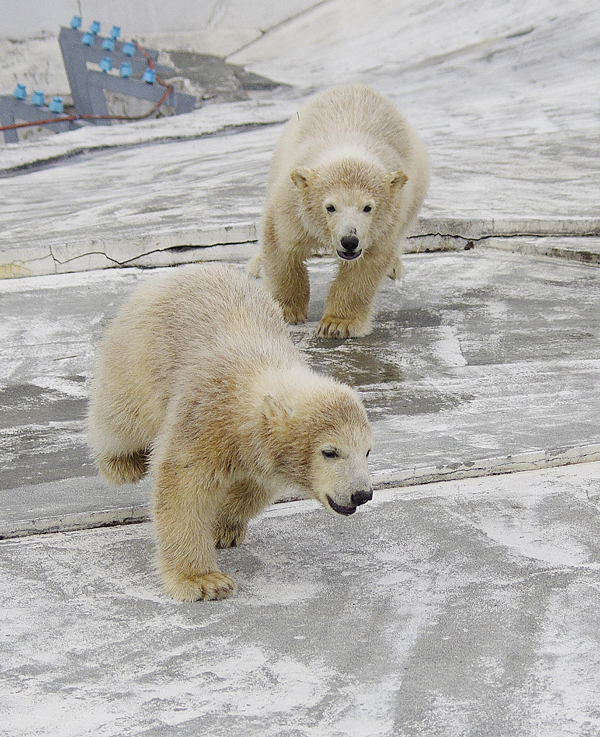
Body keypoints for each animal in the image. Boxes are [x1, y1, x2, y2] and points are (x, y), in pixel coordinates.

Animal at [87, 264, 372, 600]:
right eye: (330, 452)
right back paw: (123, 464)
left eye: (367, 451)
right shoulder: (204, 414)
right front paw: (203, 580)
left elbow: (253, 485)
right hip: (138, 356)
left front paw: (223, 528)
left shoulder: (254, 447)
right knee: (121, 419)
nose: (361, 494)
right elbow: (183, 486)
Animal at [248, 85, 432, 338]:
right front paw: (286, 310)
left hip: (415, 182)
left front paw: (337, 323)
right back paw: (256, 265)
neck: (349, 149)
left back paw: (395, 266)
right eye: (330, 207)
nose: (349, 241)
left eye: (367, 207)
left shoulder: (383, 225)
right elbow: (282, 247)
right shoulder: (293, 205)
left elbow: (364, 268)